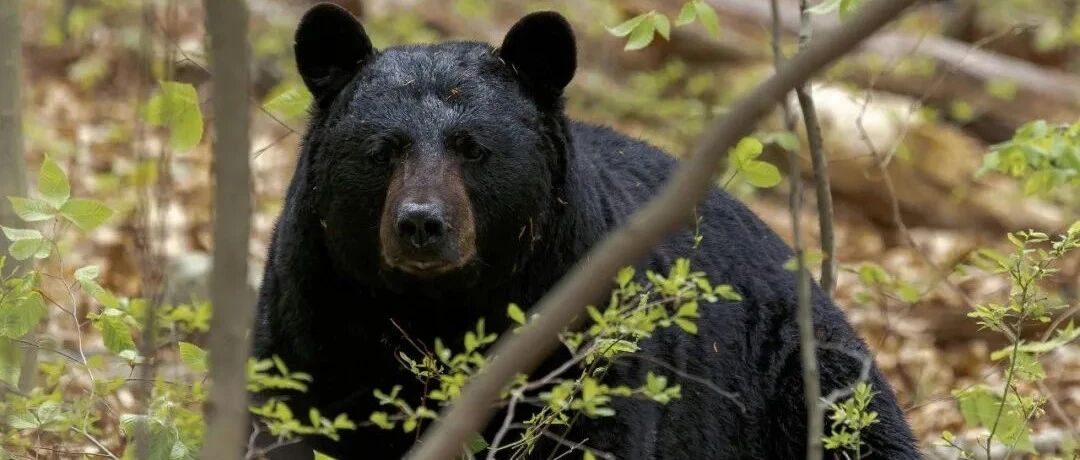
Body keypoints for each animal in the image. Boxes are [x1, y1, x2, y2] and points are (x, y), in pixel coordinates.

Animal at [252, 3, 919, 459]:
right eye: (383, 150)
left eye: (473, 148)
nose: (421, 223)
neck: (437, 306)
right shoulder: (311, 309)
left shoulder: (581, 325)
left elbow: (591, 429)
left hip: (801, 373)